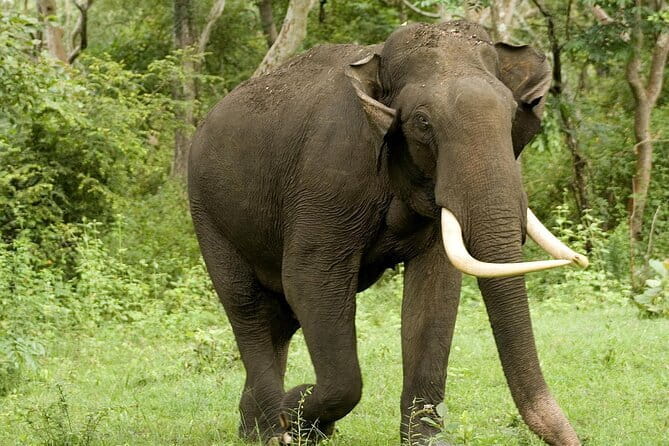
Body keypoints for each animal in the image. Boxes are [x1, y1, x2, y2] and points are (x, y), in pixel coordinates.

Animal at [188, 20, 588, 446]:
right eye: (423, 123)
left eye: (512, 113)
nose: (574, 439)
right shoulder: (326, 178)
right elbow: (311, 279)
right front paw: (297, 413)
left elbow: (435, 291)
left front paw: (426, 441)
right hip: (208, 212)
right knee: (247, 305)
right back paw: (271, 432)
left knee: (279, 320)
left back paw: (255, 429)